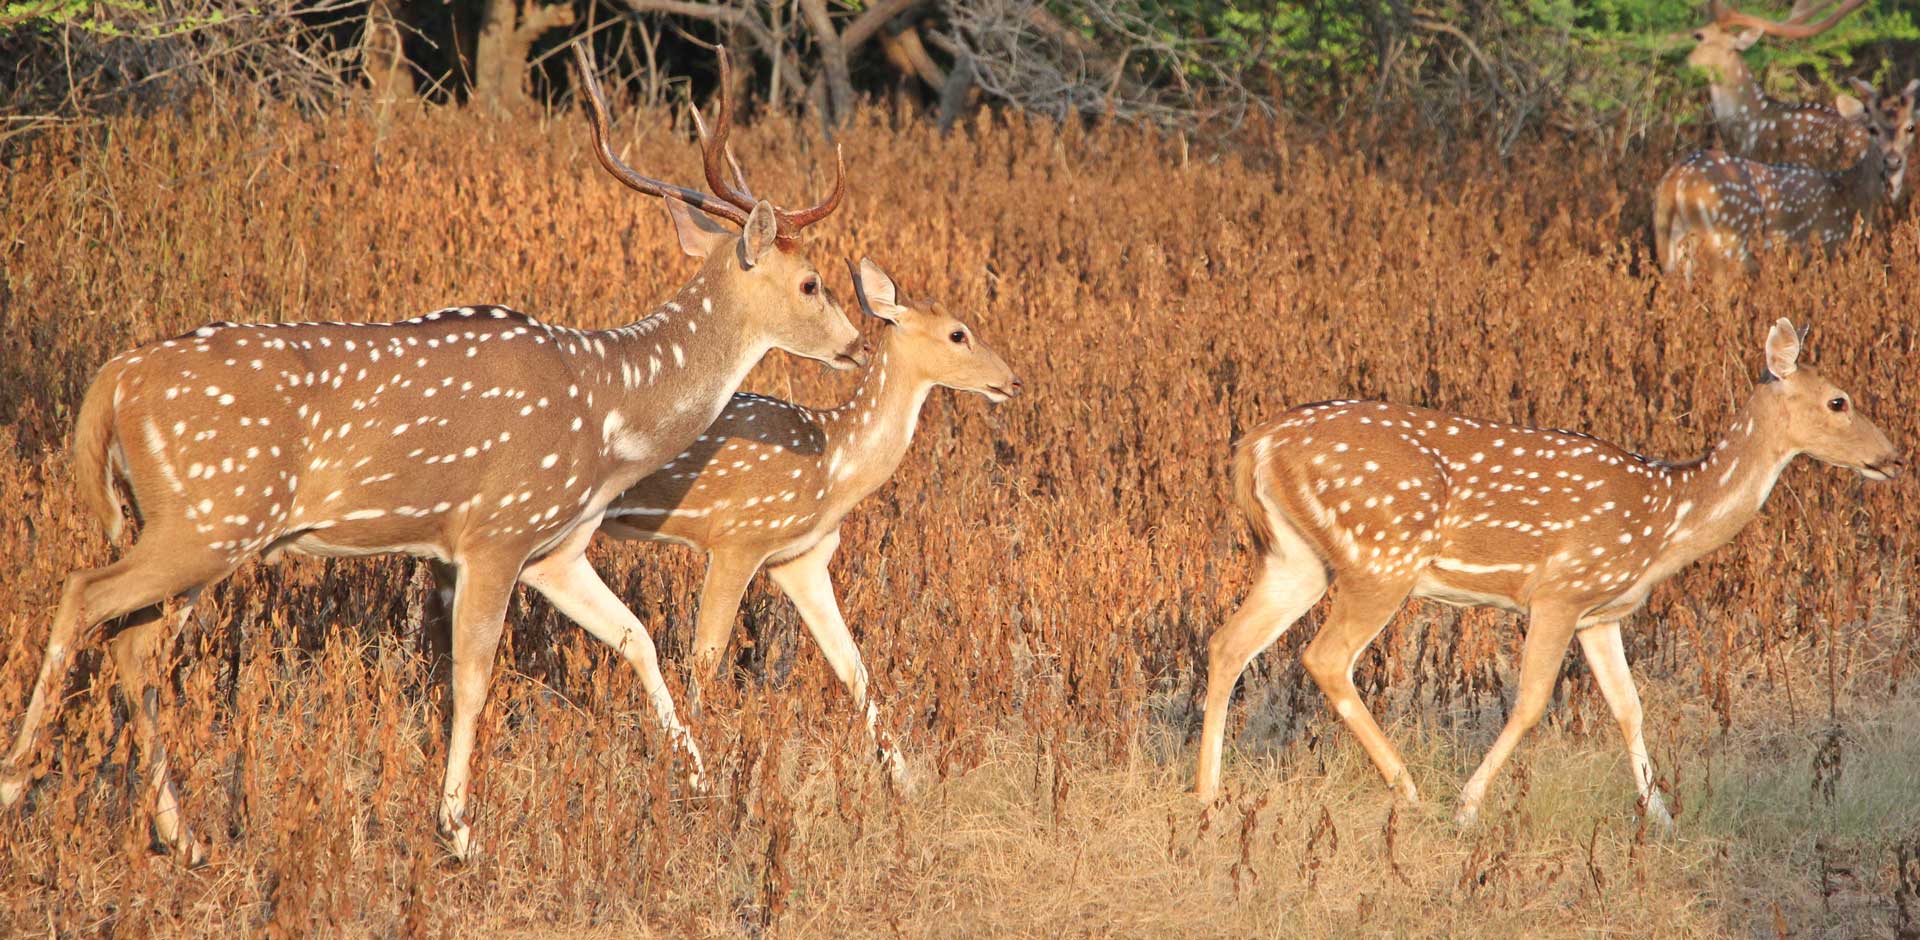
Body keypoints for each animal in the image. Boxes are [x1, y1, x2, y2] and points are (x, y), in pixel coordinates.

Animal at [0, 44, 867, 867]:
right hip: (209, 514)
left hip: (197, 527)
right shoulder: (495, 531)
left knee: (132, 644)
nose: (858, 345)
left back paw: (182, 836)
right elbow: (473, 677)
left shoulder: (553, 549)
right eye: (813, 282)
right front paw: (458, 829)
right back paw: (18, 782)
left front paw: (701, 779)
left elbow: (636, 638)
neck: (611, 416)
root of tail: (115, 381)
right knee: (84, 596)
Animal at [1198, 320, 1904, 824]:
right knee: (1323, 656)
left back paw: (1206, 793)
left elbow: (1629, 707)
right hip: (1382, 554)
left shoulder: (1601, 612)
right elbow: (1532, 700)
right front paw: (1468, 808)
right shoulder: (1560, 591)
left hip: (1296, 558)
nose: (1894, 458)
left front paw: (1661, 816)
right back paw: (1411, 791)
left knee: (1228, 642)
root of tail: (1256, 445)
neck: (1666, 518)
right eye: (1839, 400)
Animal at [1651, 79, 1920, 274]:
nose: (1893, 160)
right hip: (1727, 236)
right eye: (1872, 129)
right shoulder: (1827, 241)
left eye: (1910, 127)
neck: (1851, 195)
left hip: (1669, 241)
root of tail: (1677, 180)